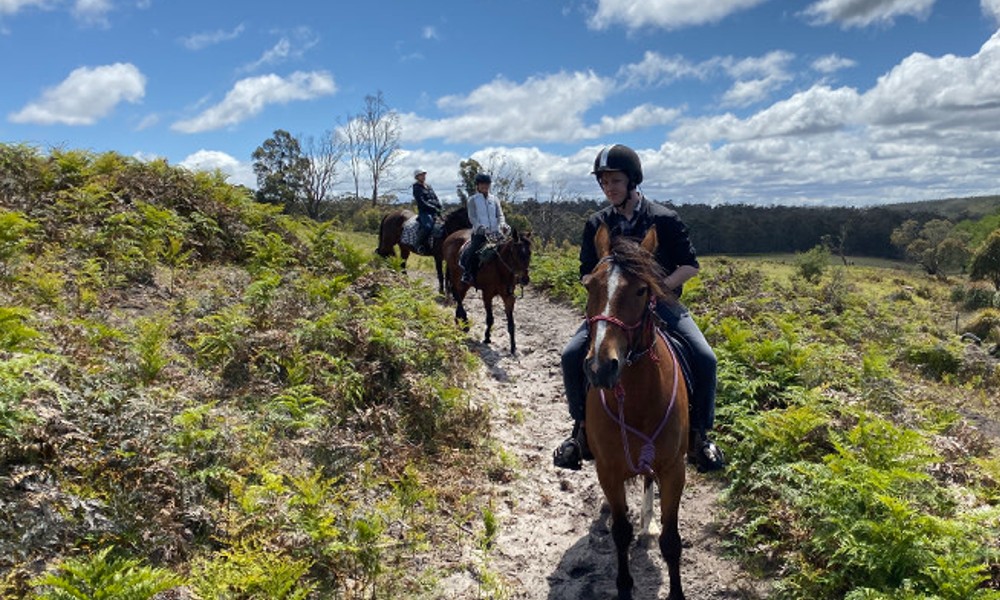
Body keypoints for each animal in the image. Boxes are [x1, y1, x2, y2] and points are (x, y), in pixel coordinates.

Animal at [584, 221, 692, 600]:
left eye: (643, 290)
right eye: (589, 285)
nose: (601, 367)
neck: (636, 399)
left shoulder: (674, 469)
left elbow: (671, 541)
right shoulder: (608, 470)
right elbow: (619, 532)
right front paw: (624, 587)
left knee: (647, 479)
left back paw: (647, 524)